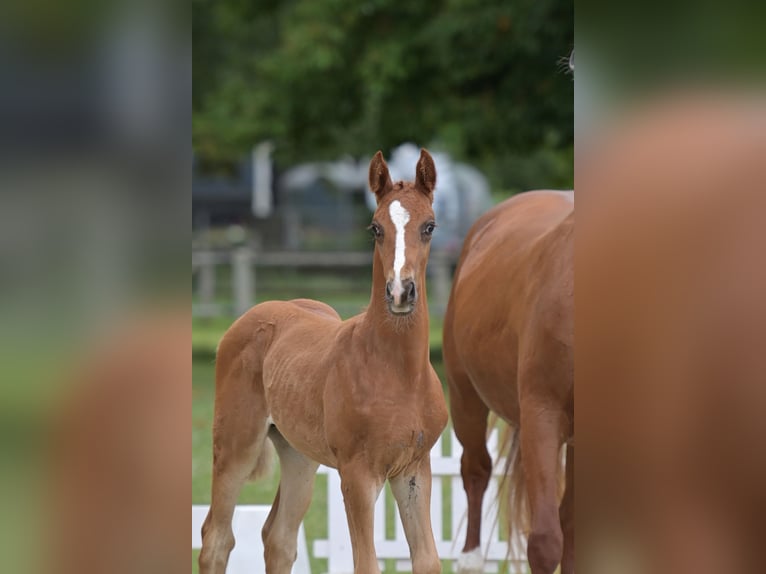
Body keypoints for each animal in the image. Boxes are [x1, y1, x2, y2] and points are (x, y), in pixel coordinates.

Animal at [198, 149, 449, 574]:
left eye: (429, 226)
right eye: (375, 228)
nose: (400, 293)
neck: (399, 373)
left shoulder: (415, 469)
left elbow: (428, 560)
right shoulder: (358, 474)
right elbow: (367, 563)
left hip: (298, 455)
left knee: (279, 538)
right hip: (235, 445)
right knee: (217, 538)